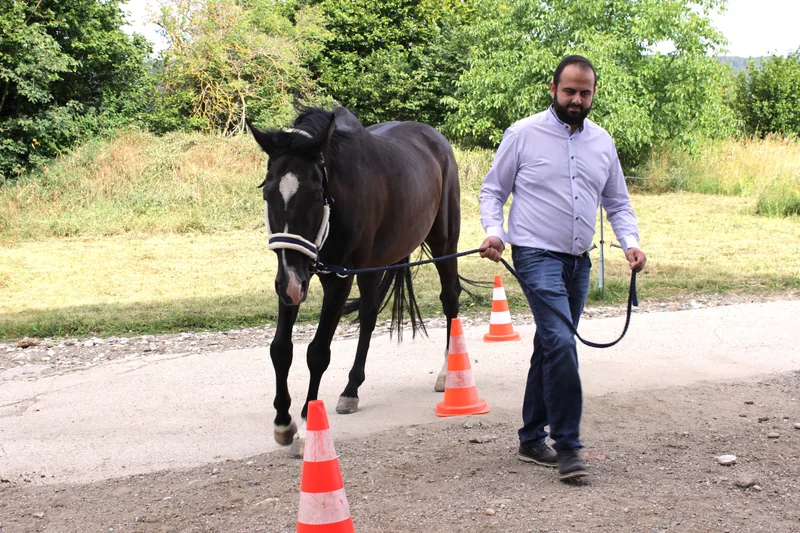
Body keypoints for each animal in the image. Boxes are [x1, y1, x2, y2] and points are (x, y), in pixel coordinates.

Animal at [247, 106, 464, 454]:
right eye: (268, 192)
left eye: (315, 195)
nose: (291, 284)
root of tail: (435, 138)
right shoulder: (295, 277)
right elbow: (281, 348)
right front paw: (283, 421)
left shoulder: (338, 280)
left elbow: (317, 352)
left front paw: (307, 427)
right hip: (371, 265)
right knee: (369, 313)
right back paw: (351, 389)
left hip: (445, 242)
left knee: (450, 298)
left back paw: (448, 373)